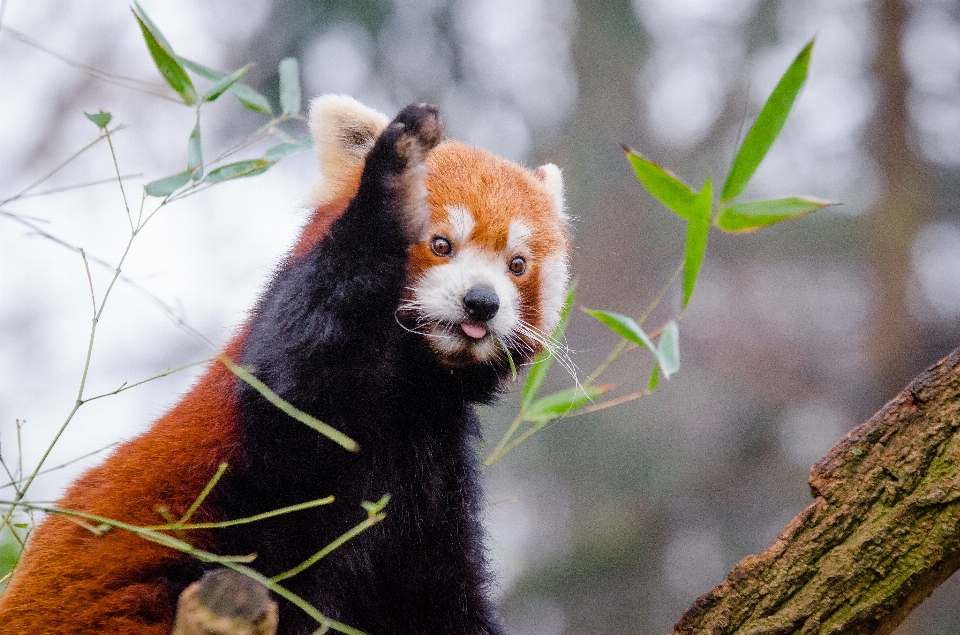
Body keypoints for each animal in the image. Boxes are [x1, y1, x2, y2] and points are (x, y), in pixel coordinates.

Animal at [0, 95, 568, 635]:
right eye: (441, 245)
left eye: (517, 265)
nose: (482, 302)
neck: (408, 390)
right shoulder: (276, 428)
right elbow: (293, 377)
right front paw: (393, 180)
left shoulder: (429, 484)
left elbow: (439, 601)